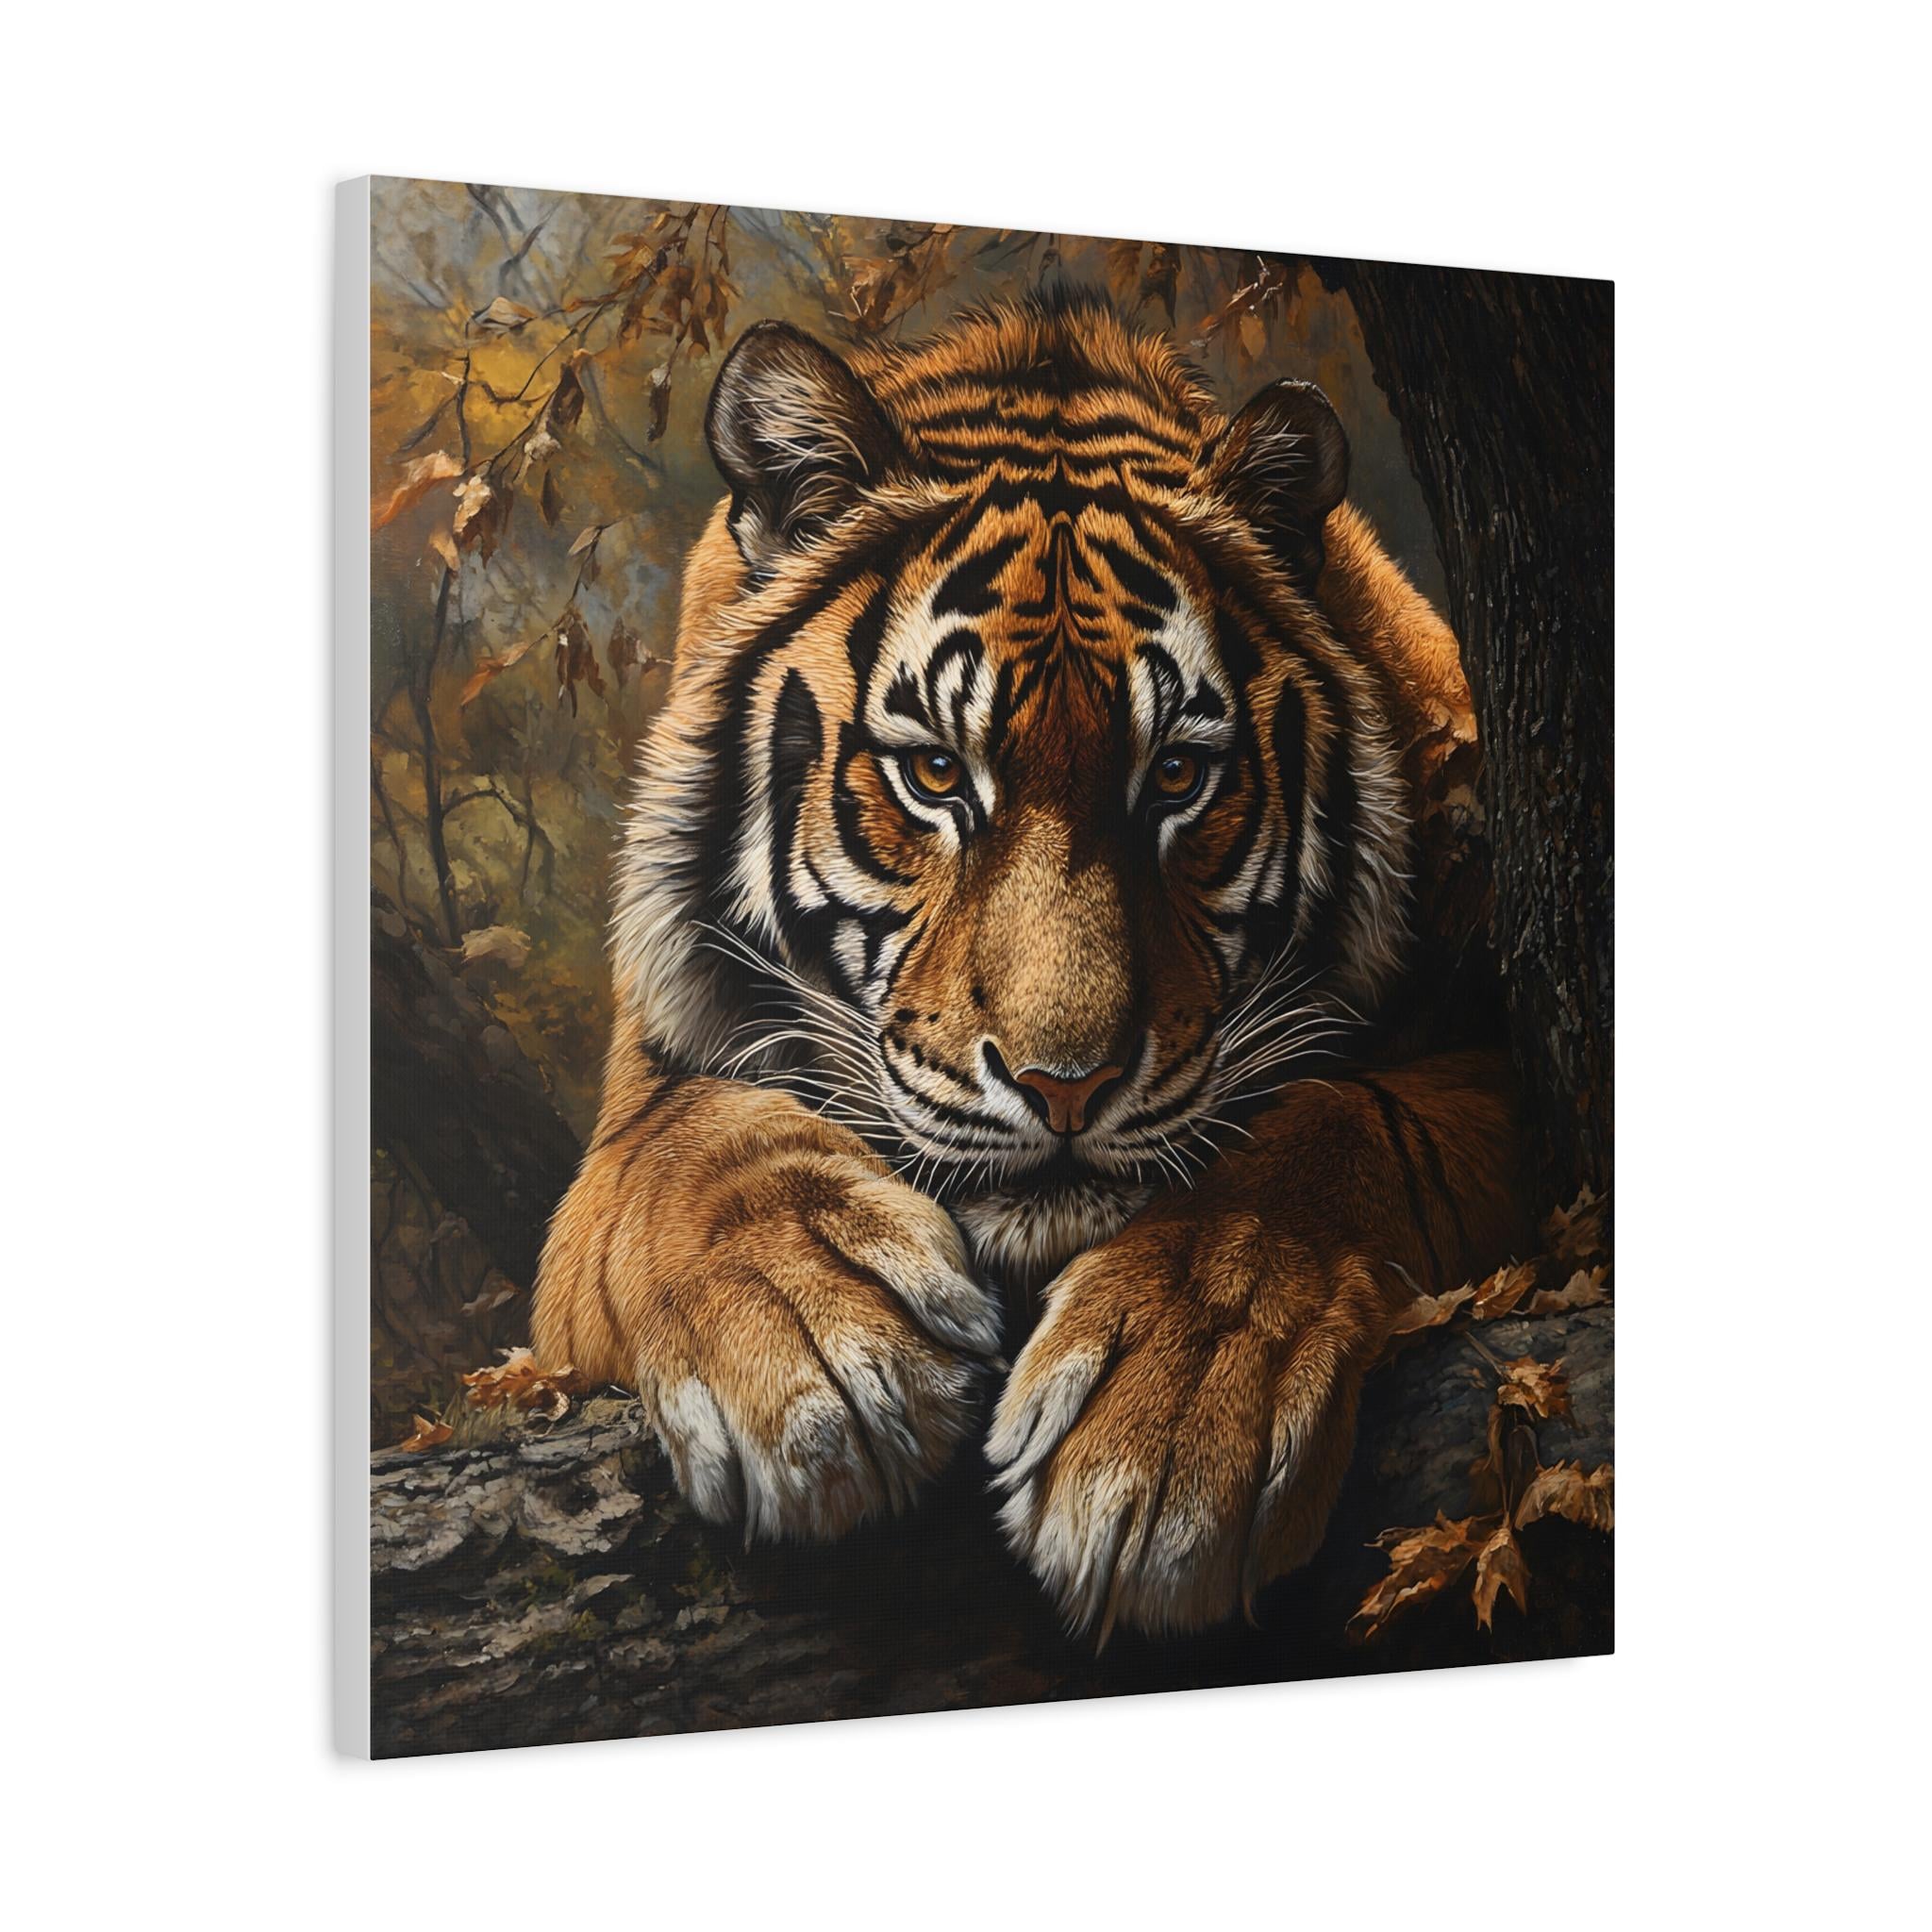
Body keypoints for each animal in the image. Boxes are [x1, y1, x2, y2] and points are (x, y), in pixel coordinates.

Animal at [532, 290, 1528, 1638]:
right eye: (933, 772)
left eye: (1176, 774)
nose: (1065, 1086)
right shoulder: (638, 1112)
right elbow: (686, 1142)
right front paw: (816, 1353)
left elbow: (1348, 1126)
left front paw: (1173, 1419)